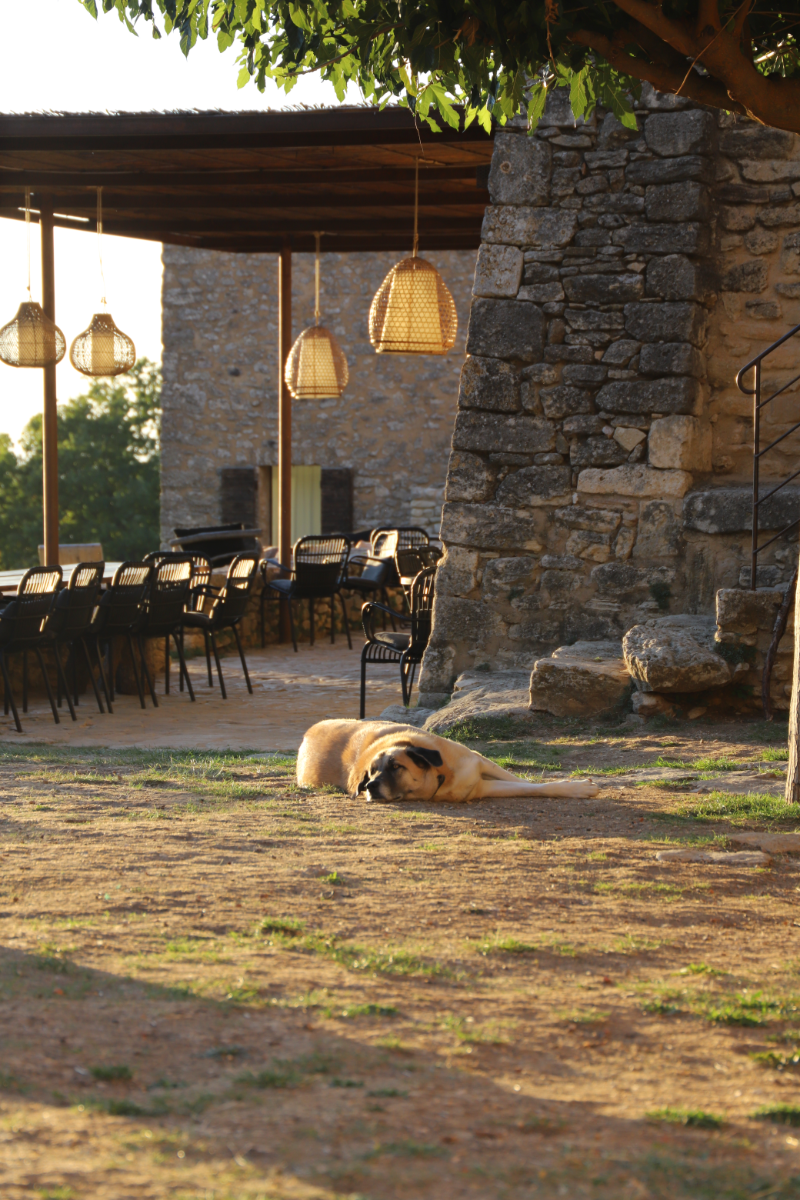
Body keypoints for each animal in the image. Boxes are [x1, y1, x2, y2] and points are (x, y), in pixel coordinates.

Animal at [297, 720, 597, 806]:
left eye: (396, 767)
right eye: (369, 774)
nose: (369, 787)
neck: (443, 774)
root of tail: (308, 733)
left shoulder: (481, 762)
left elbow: (524, 781)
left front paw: (579, 786)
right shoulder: (482, 788)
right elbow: (529, 788)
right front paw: (579, 788)